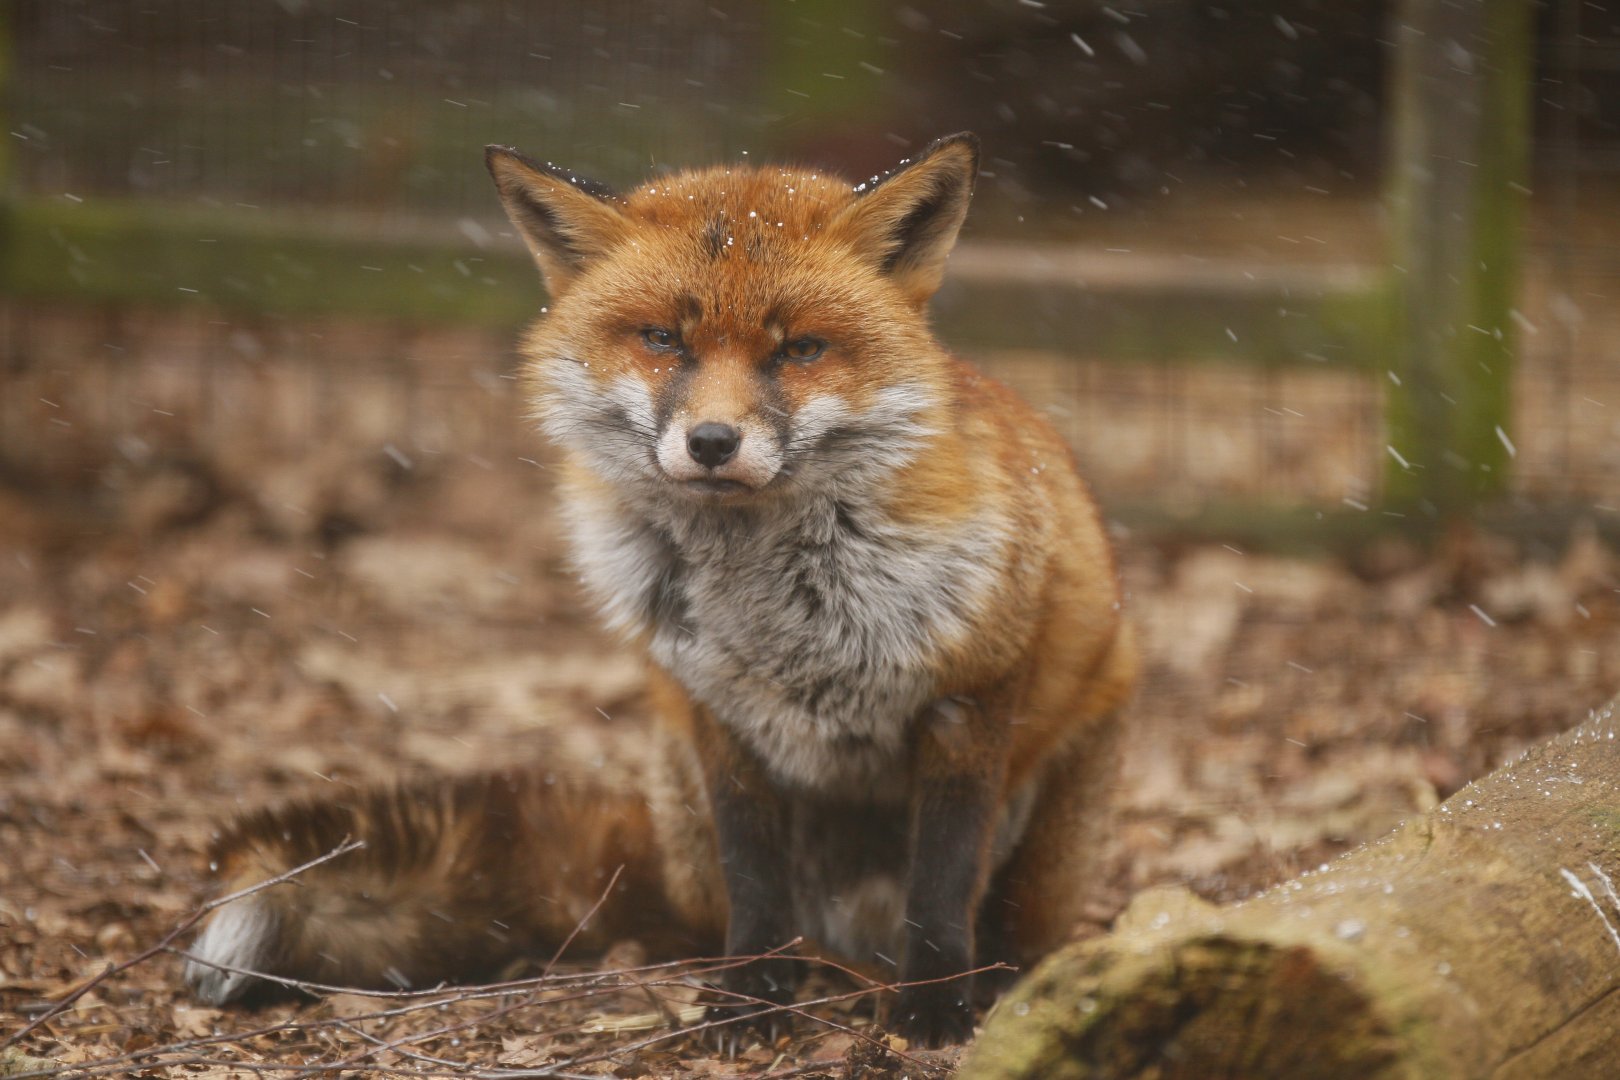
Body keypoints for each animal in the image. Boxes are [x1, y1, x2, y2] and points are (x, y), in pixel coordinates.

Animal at [182, 132, 1136, 1047]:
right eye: (664, 340)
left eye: (800, 349)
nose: (712, 442)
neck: (775, 603)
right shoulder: (722, 714)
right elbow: (756, 888)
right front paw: (750, 1001)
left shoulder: (969, 697)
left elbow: (941, 886)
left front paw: (936, 1009)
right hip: (680, 791)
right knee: (740, 924)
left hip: (1047, 837)